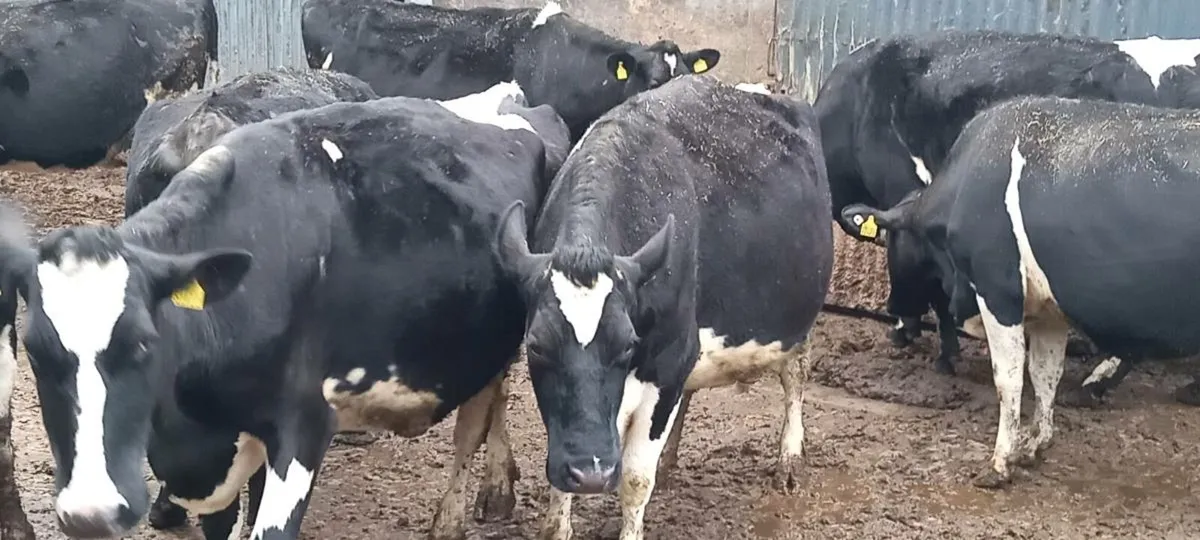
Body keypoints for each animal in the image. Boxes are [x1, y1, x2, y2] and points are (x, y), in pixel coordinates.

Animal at [494, 74, 832, 539]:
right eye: (537, 345)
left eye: (626, 344)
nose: (593, 473)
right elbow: (560, 482)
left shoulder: (666, 363)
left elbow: (636, 478)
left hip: (797, 319)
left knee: (795, 375)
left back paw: (789, 459)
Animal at [838, 95, 1200, 489]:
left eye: (891, 243)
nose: (892, 308)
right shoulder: (1048, 310)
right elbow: (1045, 372)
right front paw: (1035, 443)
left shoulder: (999, 290)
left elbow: (1008, 377)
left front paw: (999, 462)